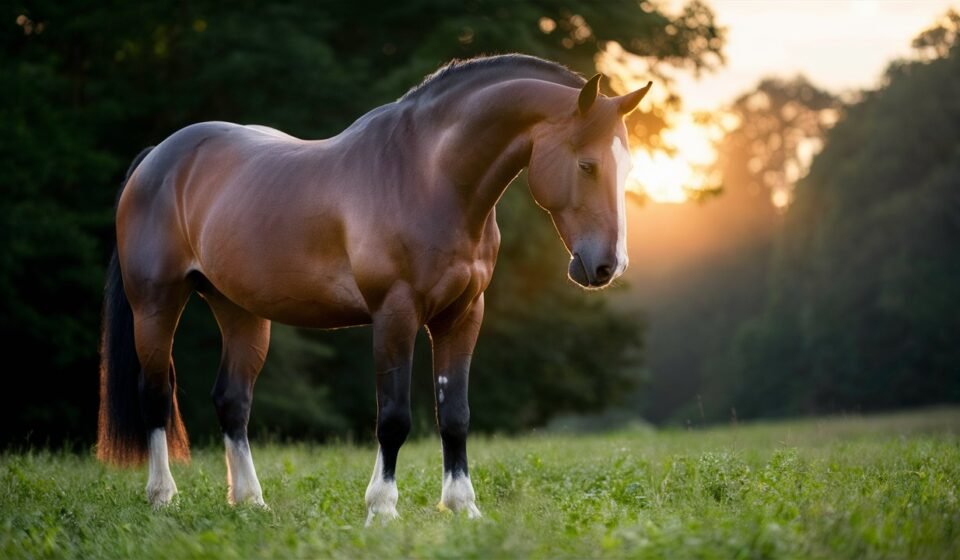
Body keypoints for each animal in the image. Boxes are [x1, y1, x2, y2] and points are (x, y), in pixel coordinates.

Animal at [96, 54, 651, 523]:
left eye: (626, 166)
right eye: (586, 164)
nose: (607, 265)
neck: (430, 176)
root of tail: (158, 157)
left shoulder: (463, 315)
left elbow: (455, 414)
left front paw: (463, 507)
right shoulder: (395, 314)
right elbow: (394, 418)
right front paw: (382, 509)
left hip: (240, 311)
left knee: (232, 400)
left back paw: (251, 502)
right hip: (156, 304)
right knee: (155, 394)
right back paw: (163, 497)